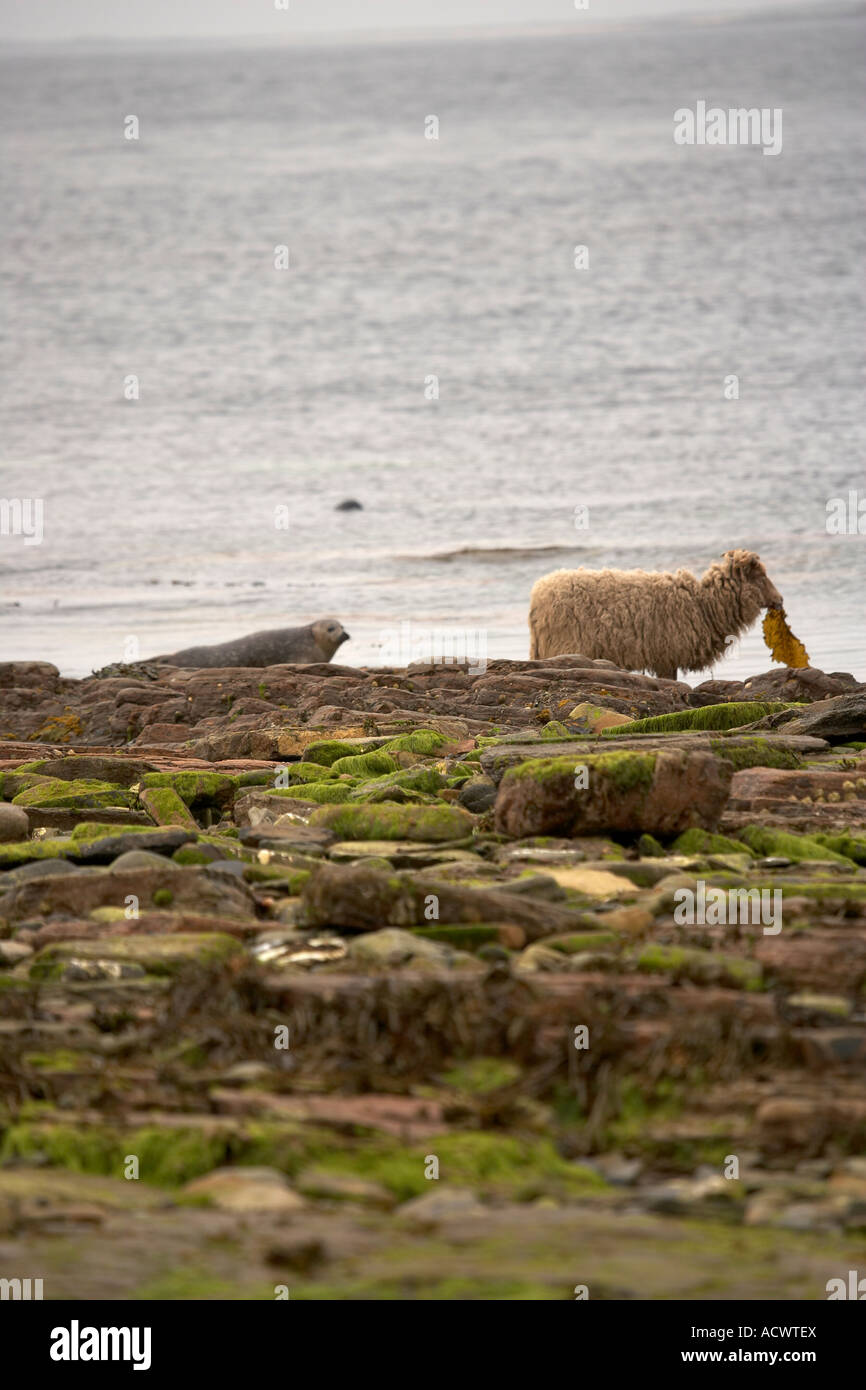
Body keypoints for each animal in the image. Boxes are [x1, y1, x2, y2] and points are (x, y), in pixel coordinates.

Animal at [528, 553, 783, 683]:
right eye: (761, 577)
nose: (779, 600)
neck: (704, 603)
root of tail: (538, 595)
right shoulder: (667, 655)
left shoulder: (666, 657)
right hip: (564, 645)